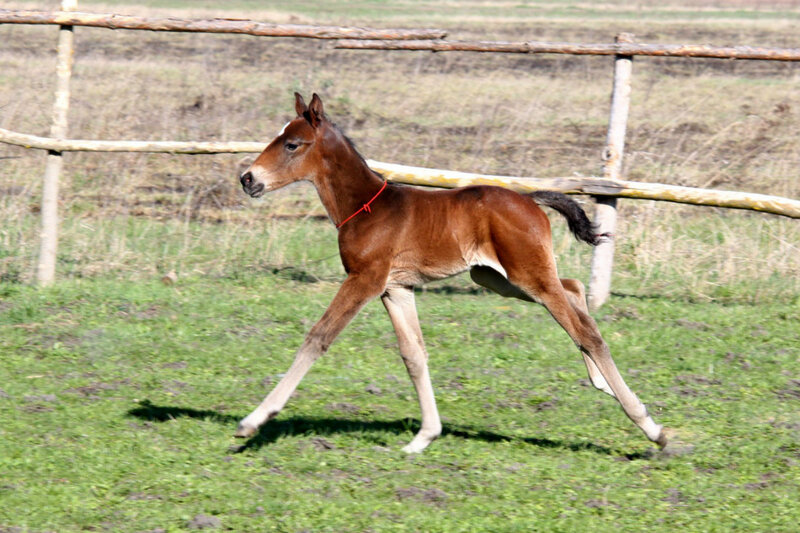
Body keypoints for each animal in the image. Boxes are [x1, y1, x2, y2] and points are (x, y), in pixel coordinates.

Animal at [237, 92, 667, 453]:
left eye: (292, 144)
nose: (248, 179)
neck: (366, 207)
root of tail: (529, 200)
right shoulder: (395, 288)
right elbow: (413, 354)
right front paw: (424, 437)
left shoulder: (364, 280)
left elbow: (318, 337)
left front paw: (253, 422)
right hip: (499, 278)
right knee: (575, 289)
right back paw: (603, 384)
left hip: (526, 276)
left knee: (584, 331)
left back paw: (651, 427)